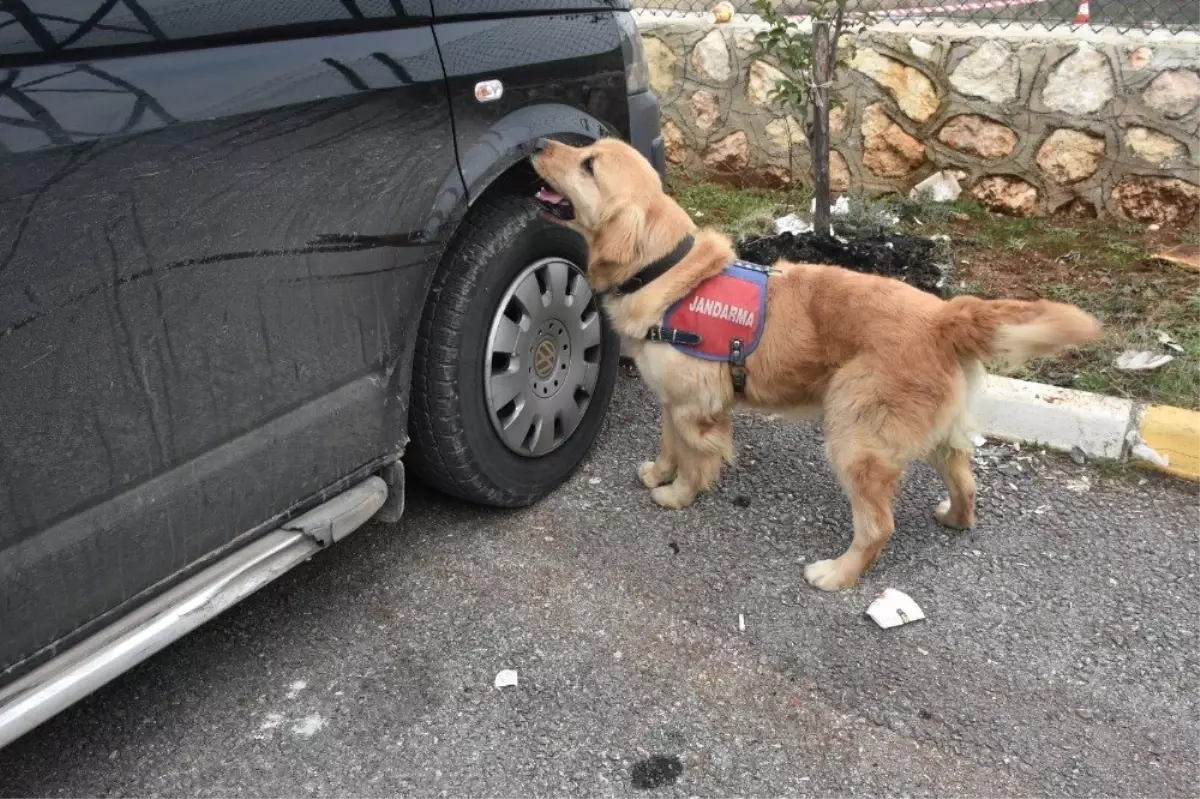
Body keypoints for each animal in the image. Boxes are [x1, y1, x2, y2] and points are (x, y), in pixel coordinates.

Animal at [530, 136, 1099, 587]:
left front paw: (678, 495)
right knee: (966, 482)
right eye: (586, 150)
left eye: (588, 164)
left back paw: (836, 575)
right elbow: (670, 444)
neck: (665, 272)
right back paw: (955, 519)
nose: (538, 143)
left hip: (854, 435)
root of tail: (944, 316)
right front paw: (659, 473)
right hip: (937, 436)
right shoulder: (673, 400)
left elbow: (696, 460)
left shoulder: (699, 408)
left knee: (878, 526)